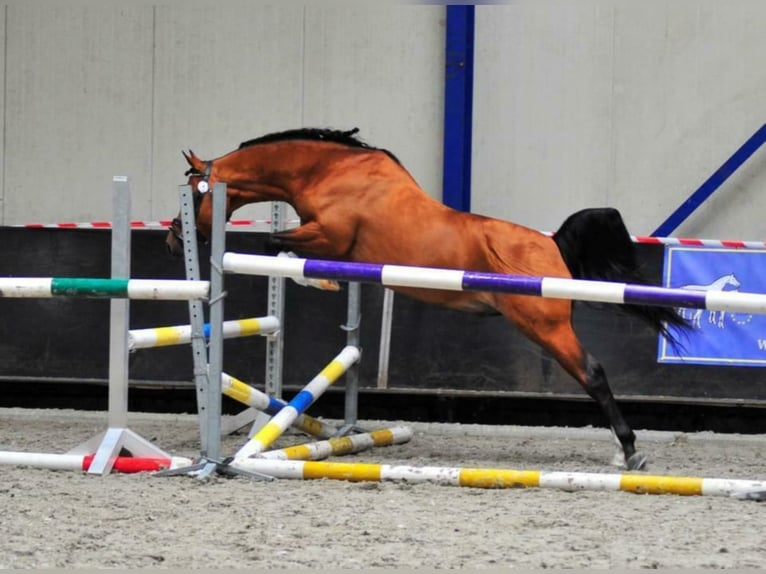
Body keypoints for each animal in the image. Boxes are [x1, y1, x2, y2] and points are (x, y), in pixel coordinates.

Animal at [166, 127, 688, 472]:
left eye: (193, 192)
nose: (174, 239)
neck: (330, 171)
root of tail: (554, 245)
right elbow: (282, 247)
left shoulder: (331, 238)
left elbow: (276, 244)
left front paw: (320, 283)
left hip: (545, 326)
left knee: (593, 374)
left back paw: (630, 451)